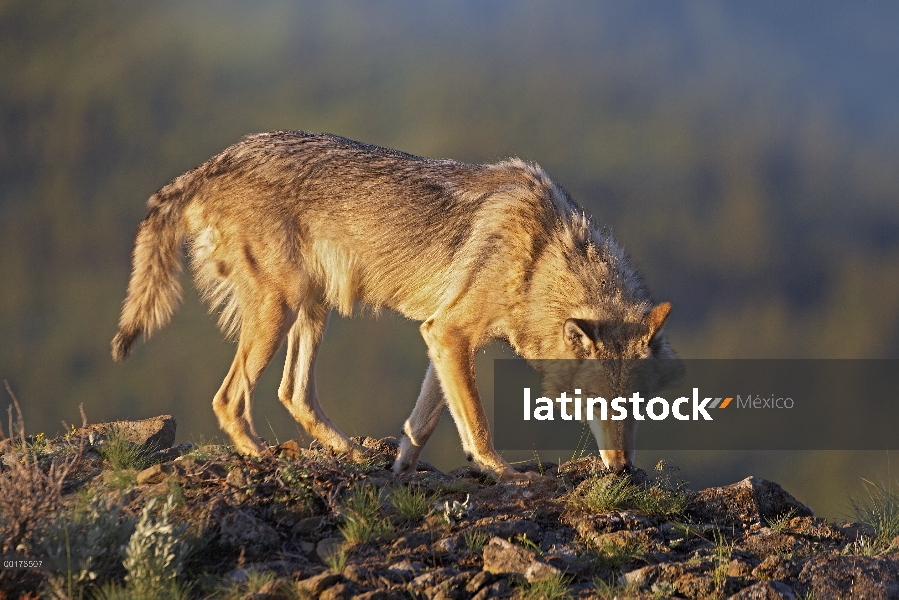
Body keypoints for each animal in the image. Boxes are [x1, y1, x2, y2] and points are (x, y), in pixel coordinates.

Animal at [110, 131, 676, 478]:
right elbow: (476, 422)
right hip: (280, 310)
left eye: (639, 406)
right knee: (229, 399)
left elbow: (421, 423)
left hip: (313, 308)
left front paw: (402, 469)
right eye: (597, 404)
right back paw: (266, 458)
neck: (542, 259)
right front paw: (500, 472)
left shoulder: (441, 338)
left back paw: (351, 453)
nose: (623, 470)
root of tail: (212, 163)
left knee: (294, 394)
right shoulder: (450, 334)